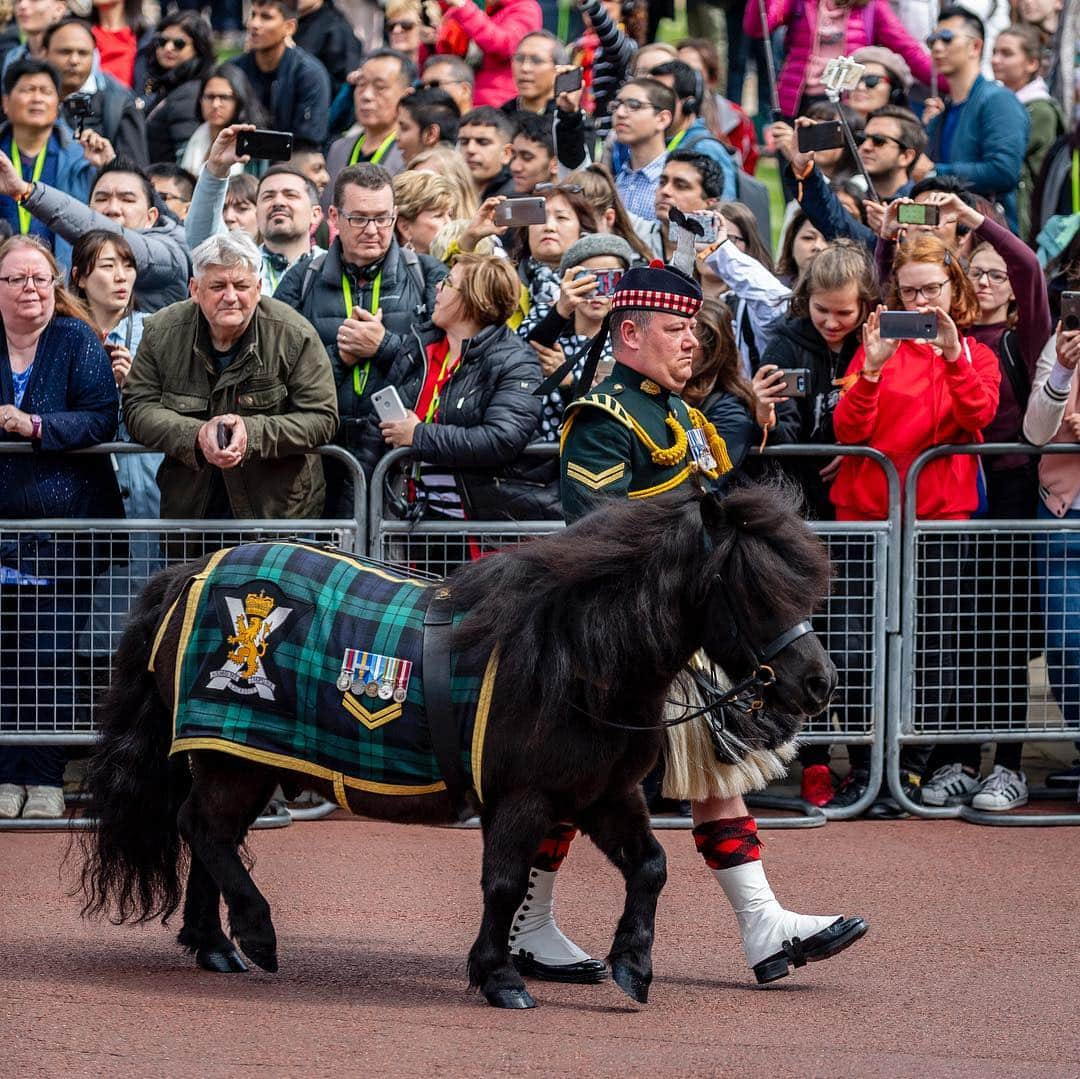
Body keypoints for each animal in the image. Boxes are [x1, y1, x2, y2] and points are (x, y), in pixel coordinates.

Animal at [78, 490, 833, 1010]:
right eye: (754, 588)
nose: (819, 683)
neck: (569, 651)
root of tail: (189, 572)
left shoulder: (602, 793)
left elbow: (649, 867)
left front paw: (633, 966)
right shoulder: (523, 795)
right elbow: (504, 881)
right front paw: (499, 976)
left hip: (246, 757)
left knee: (210, 833)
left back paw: (215, 944)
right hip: (233, 754)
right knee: (202, 828)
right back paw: (255, 933)